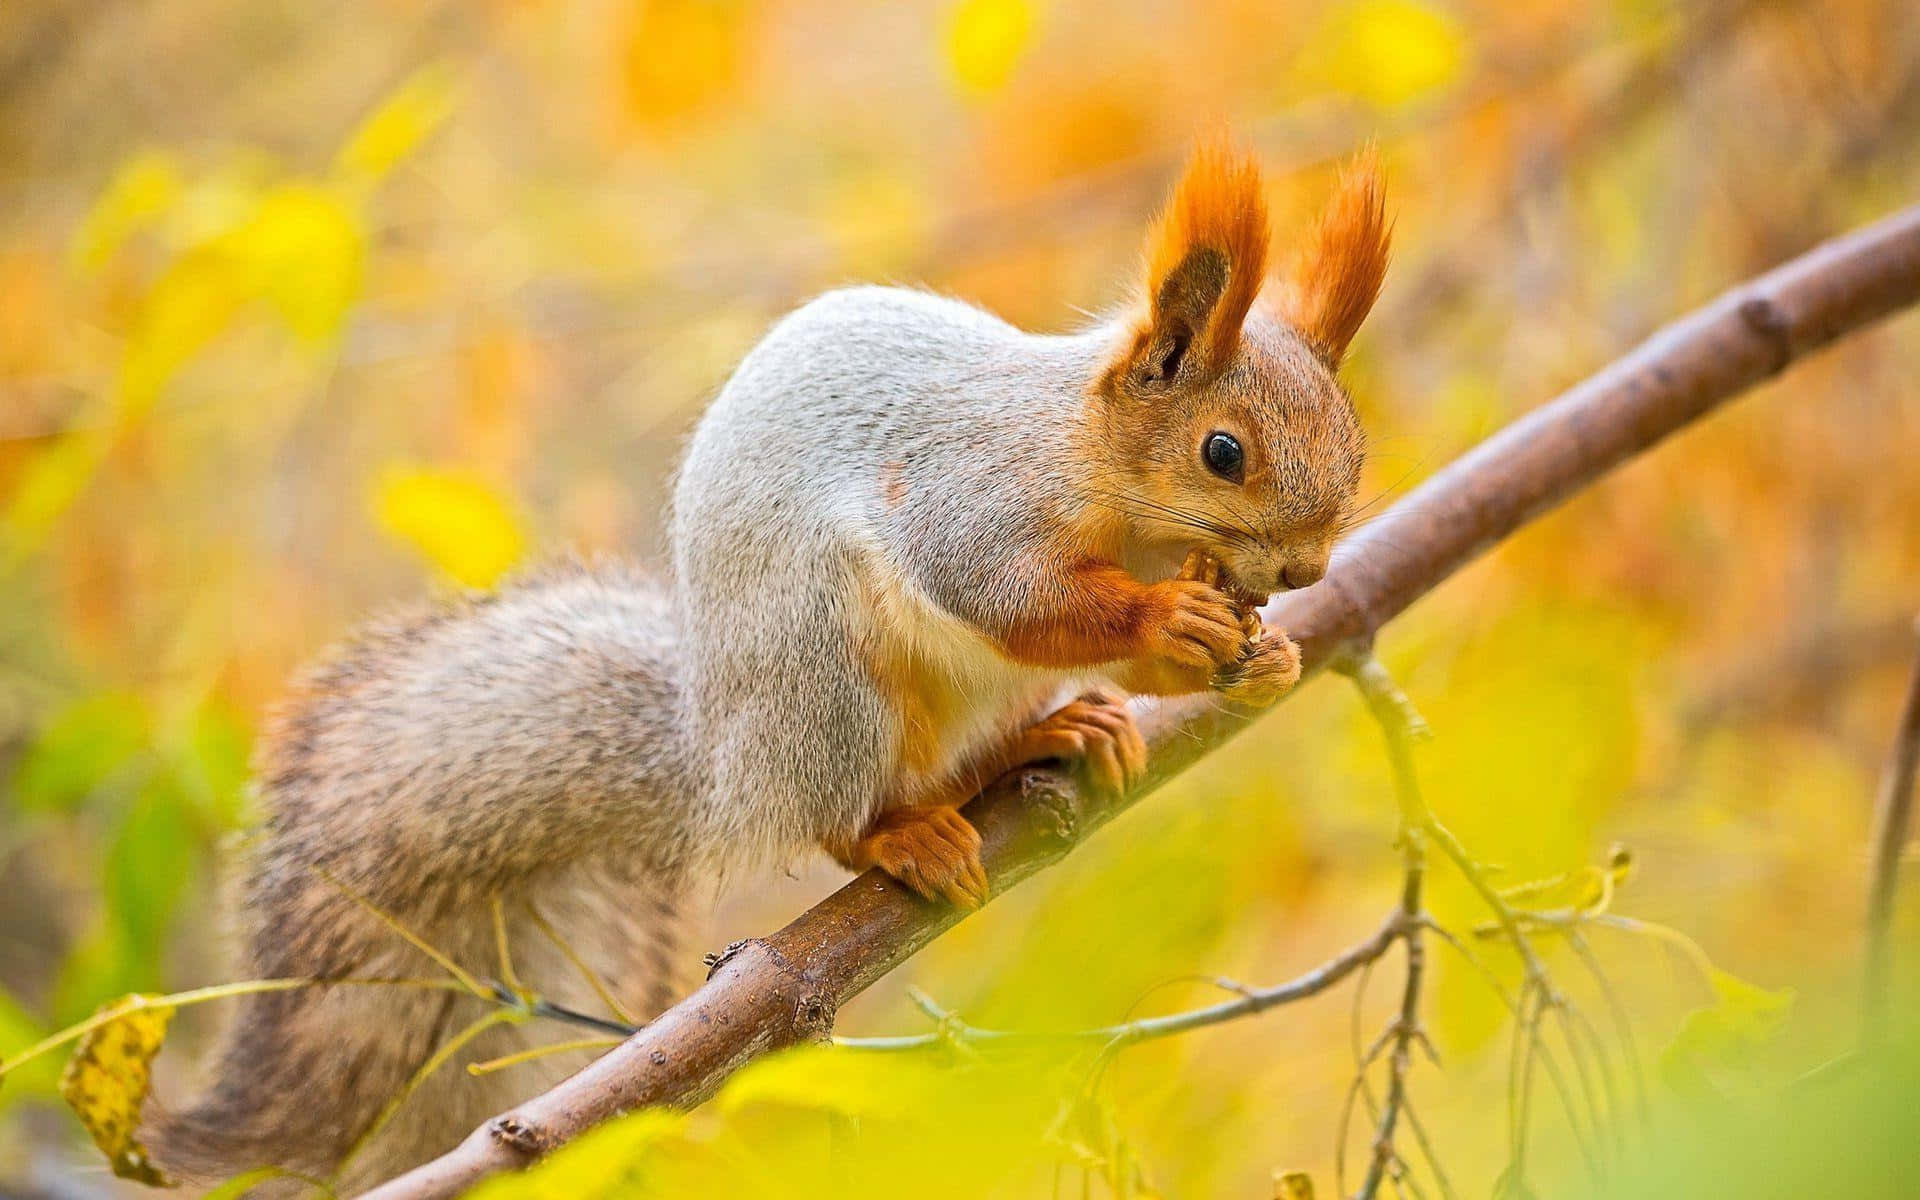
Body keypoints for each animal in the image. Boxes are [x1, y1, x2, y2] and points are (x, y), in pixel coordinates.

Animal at [146, 141, 1389, 1191]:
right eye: (1222, 452)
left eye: (1354, 442)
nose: (1307, 566)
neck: (1116, 493)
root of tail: (725, 761)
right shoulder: (971, 495)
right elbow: (1005, 594)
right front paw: (1167, 618)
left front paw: (1269, 654)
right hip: (825, 675)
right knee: (836, 814)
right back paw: (902, 834)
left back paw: (1057, 733)